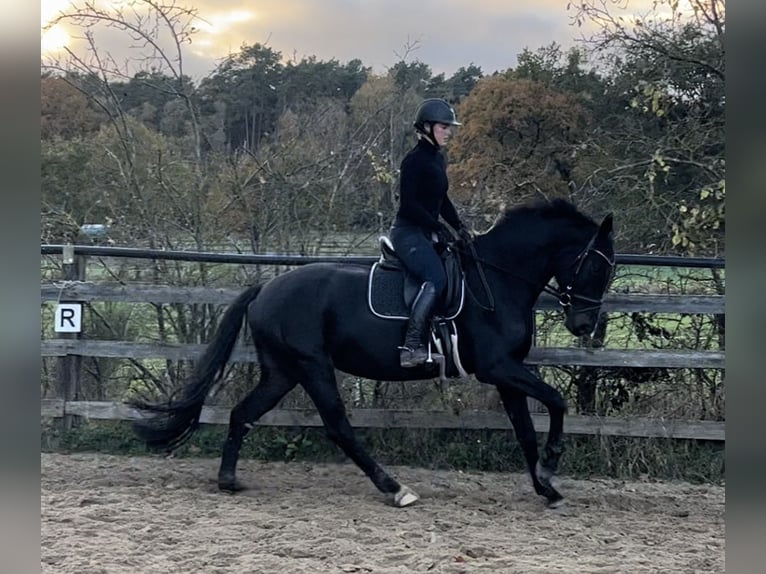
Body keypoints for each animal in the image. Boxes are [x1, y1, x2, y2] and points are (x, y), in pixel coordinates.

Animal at [130, 200, 612, 510]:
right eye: (595, 264)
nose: (583, 326)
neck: (497, 278)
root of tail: (265, 287)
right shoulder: (500, 368)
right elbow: (557, 402)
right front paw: (552, 464)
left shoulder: (506, 372)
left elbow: (526, 431)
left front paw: (545, 486)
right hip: (312, 366)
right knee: (338, 427)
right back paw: (395, 488)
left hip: (282, 371)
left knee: (242, 414)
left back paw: (228, 480)